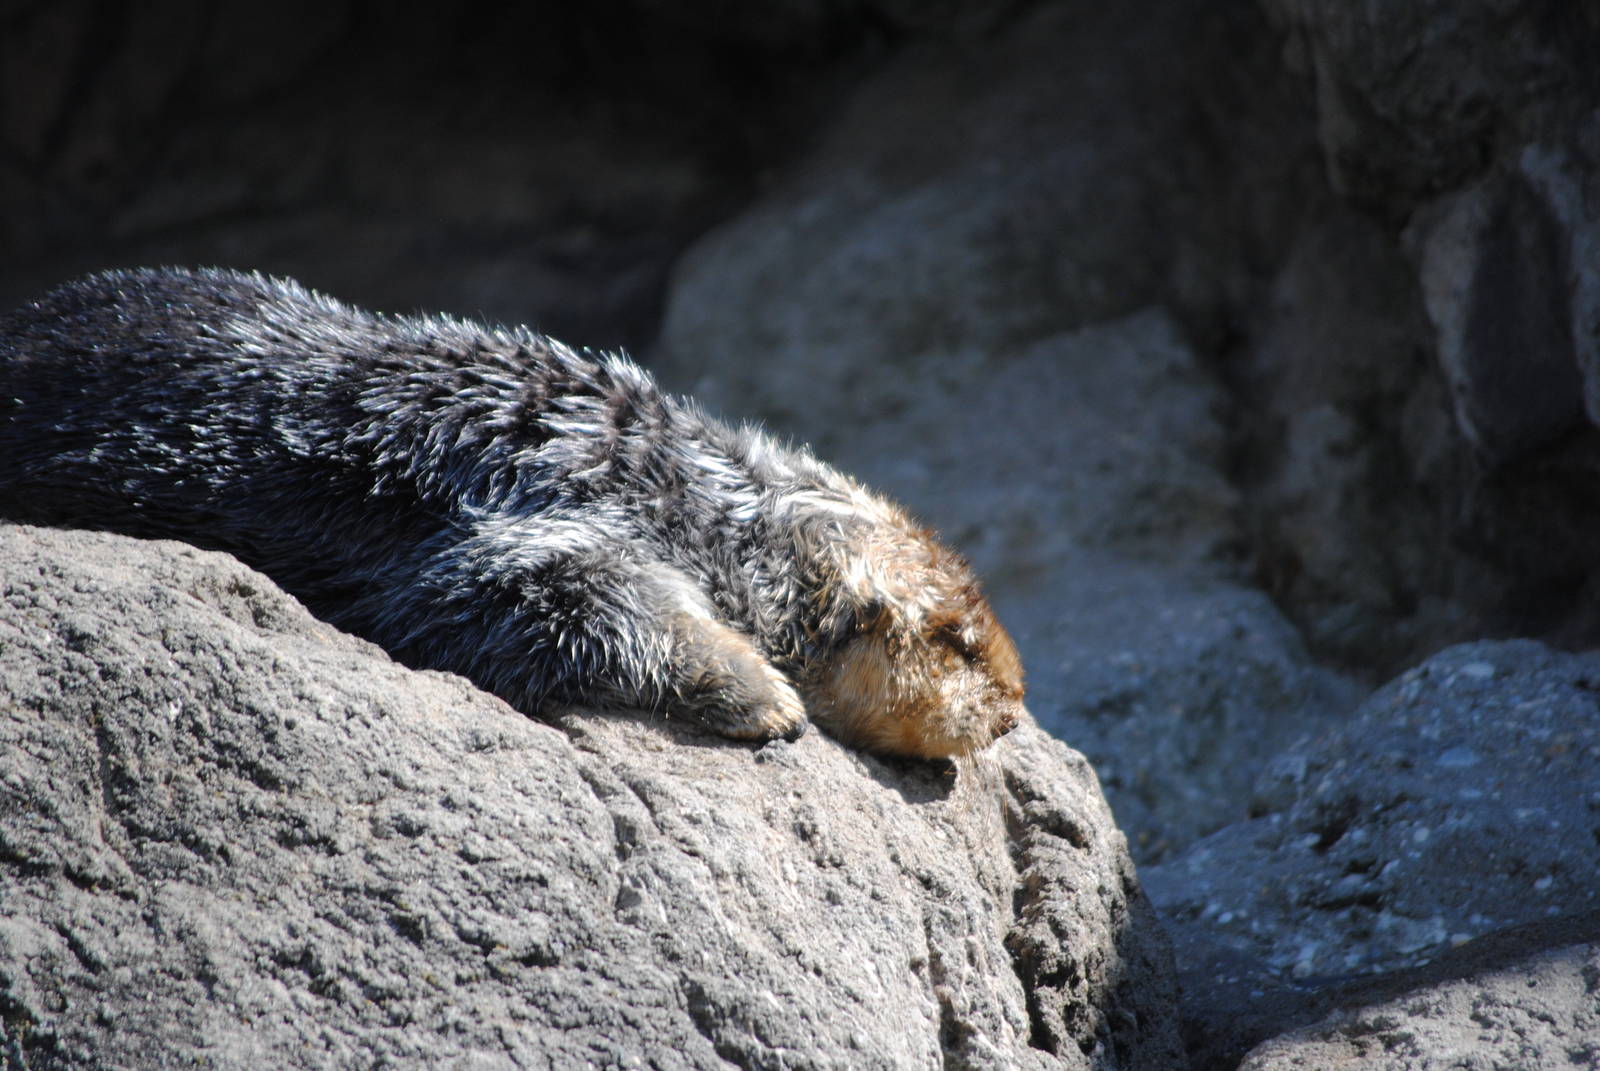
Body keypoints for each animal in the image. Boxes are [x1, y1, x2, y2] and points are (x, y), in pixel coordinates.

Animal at [0, 268, 1023, 759]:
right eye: (959, 644)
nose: (1013, 715)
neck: (686, 489)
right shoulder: (534, 521)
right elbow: (551, 599)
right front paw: (757, 689)